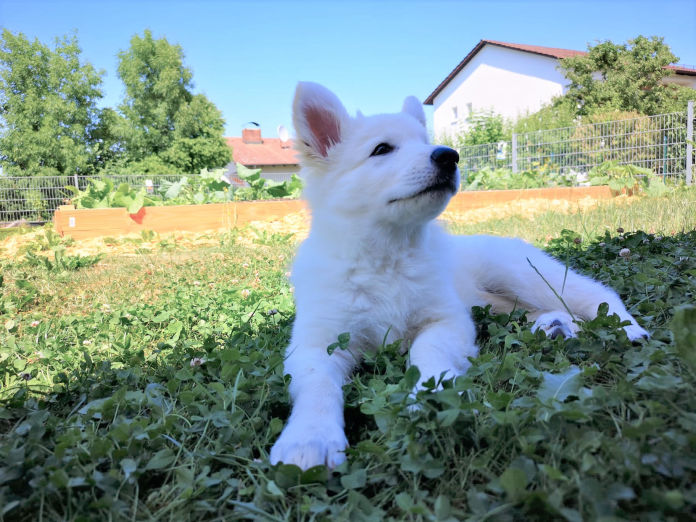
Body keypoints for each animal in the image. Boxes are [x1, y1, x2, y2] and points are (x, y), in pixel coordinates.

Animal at [270, 82, 648, 468]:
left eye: (425, 141)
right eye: (382, 149)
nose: (449, 156)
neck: (387, 256)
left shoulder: (446, 320)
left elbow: (427, 349)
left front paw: (434, 392)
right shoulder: (316, 343)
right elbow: (317, 384)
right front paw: (310, 436)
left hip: (524, 275)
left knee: (596, 294)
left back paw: (629, 330)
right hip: (501, 300)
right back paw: (555, 327)